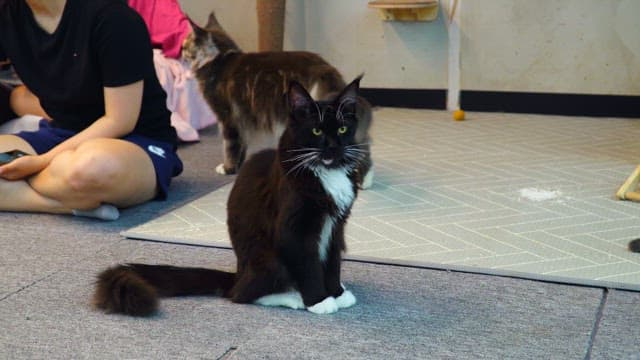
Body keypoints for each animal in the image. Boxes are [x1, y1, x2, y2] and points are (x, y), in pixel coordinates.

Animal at [92, 77, 368, 316]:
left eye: (342, 128)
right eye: (317, 131)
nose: (333, 147)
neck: (325, 171)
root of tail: (238, 274)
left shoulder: (337, 226)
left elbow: (332, 261)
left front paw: (337, 293)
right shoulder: (294, 229)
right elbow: (309, 266)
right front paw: (319, 300)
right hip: (267, 258)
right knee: (243, 295)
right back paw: (292, 297)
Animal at [180, 11, 372, 188]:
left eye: (186, 44)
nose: (180, 50)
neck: (220, 61)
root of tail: (324, 68)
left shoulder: (228, 118)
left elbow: (230, 146)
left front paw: (228, 169)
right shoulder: (241, 120)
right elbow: (242, 145)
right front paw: (239, 165)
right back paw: (364, 180)